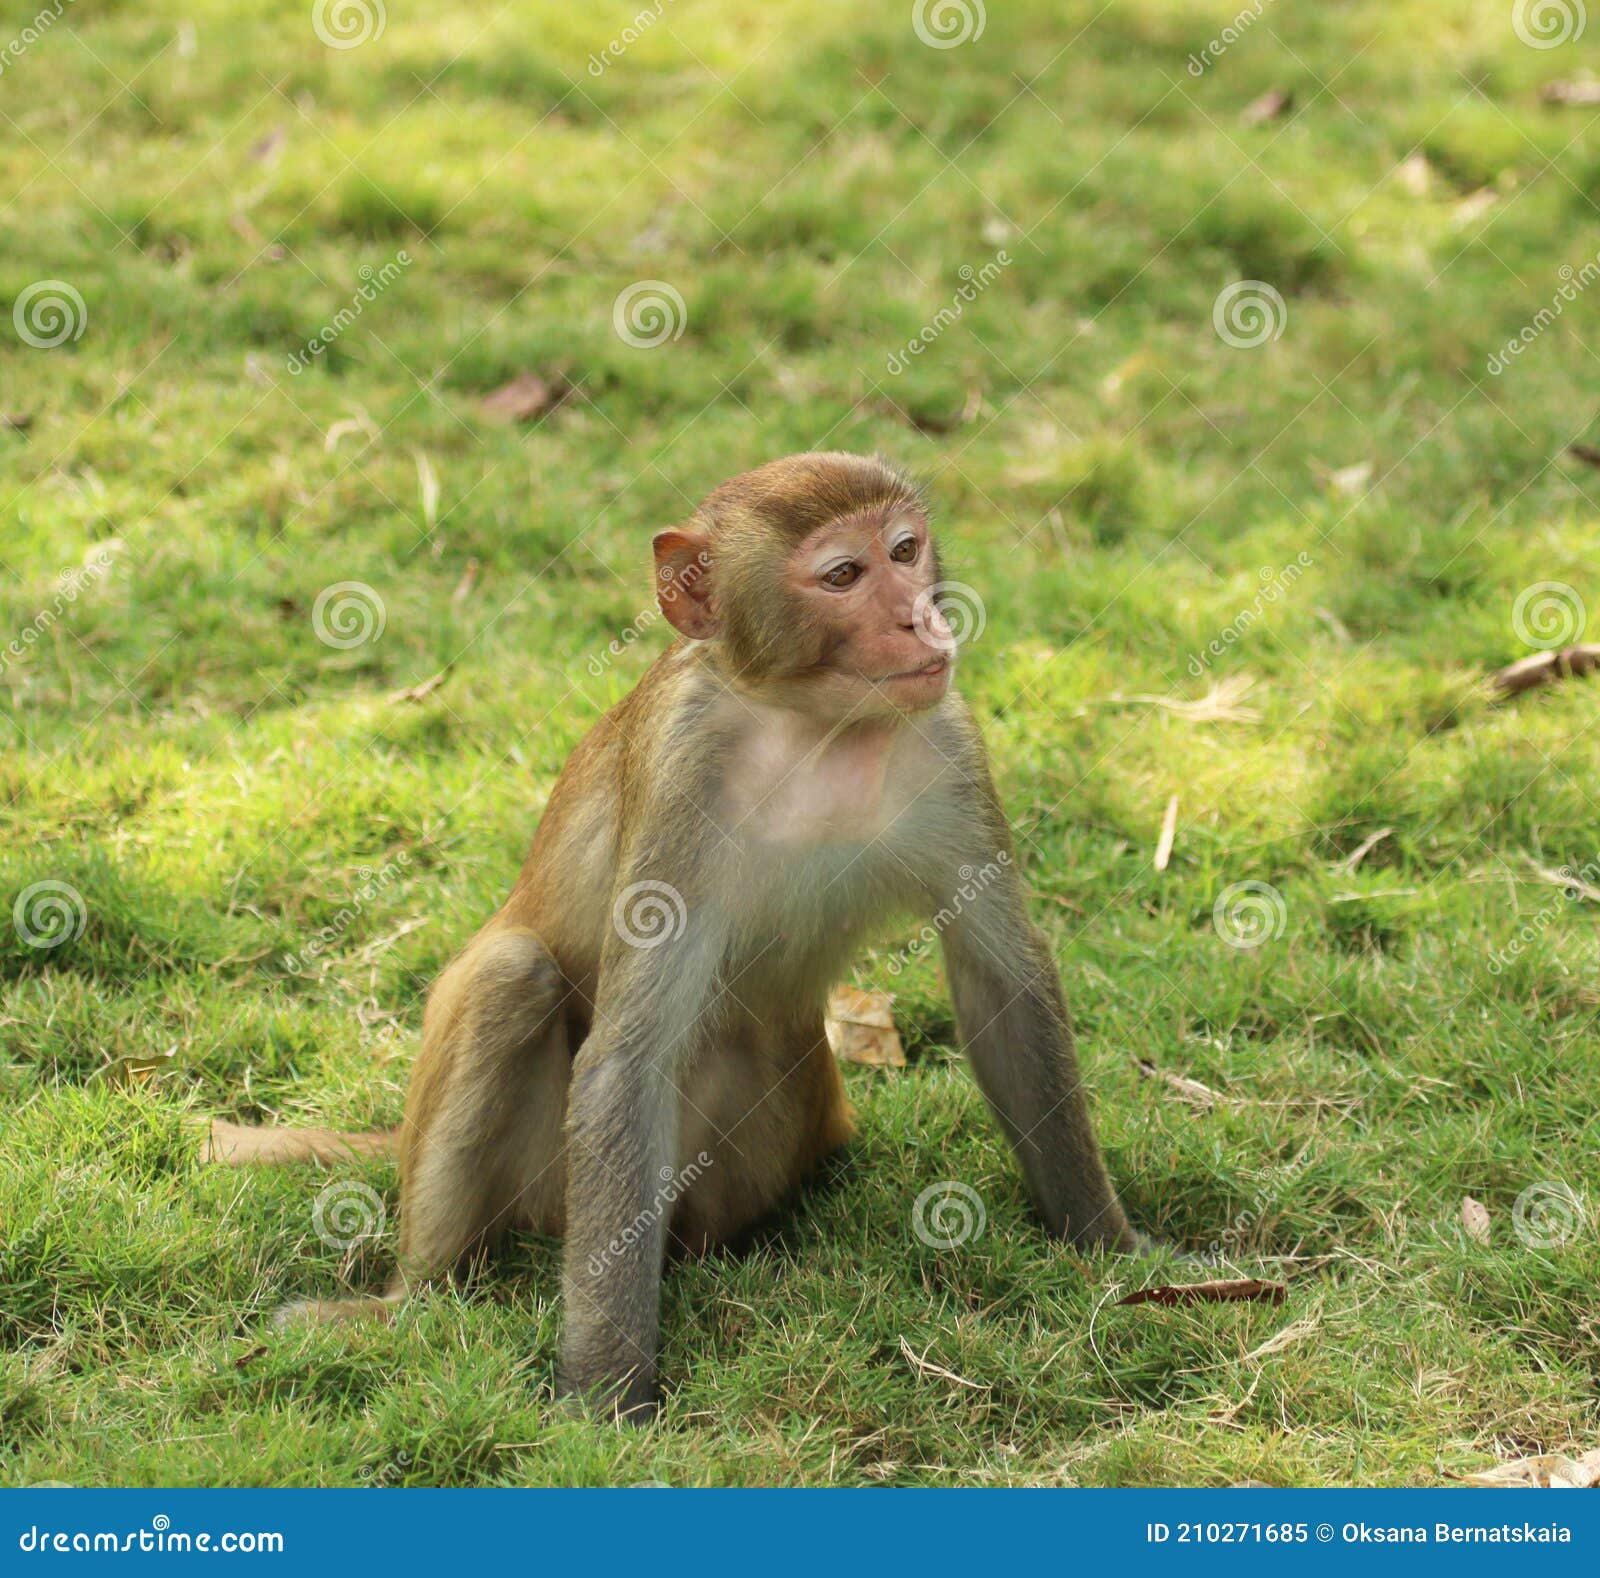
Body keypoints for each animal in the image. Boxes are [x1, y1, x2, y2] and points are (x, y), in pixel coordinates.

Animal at [217, 451, 1140, 1421]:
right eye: (843, 576)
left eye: (904, 551)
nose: (921, 616)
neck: (809, 726)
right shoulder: (681, 768)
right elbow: (629, 1059)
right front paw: (603, 1404)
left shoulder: (950, 740)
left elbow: (1005, 982)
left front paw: (1115, 1251)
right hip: (554, 1182)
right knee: (512, 976)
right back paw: (410, 1299)